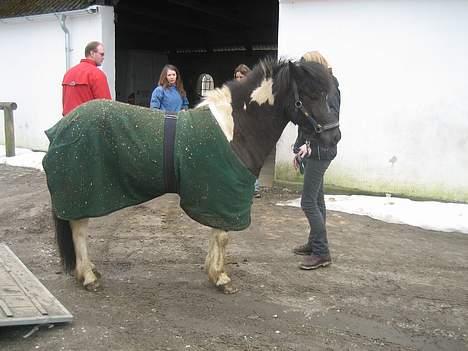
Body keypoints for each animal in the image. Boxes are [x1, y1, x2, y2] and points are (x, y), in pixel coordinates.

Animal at [43, 57, 340, 294]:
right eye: (312, 94)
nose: (334, 137)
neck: (235, 128)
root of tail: (61, 128)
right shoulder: (224, 194)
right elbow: (222, 236)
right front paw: (221, 278)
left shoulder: (218, 197)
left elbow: (216, 234)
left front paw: (212, 271)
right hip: (82, 192)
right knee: (79, 229)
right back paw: (88, 276)